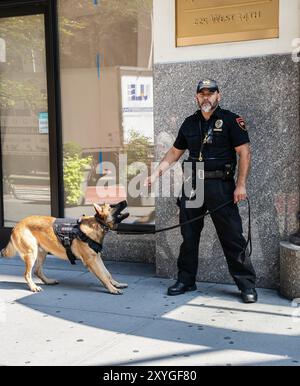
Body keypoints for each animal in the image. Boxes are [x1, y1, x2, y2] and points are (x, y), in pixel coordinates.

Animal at [0, 201, 129, 294]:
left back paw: (48, 281)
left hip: (42, 253)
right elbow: (103, 276)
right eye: (112, 206)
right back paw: (33, 287)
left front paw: (116, 284)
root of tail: (16, 225)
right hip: (32, 254)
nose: (125, 201)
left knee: (37, 271)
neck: (97, 224)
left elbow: (107, 273)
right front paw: (112, 289)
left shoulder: (97, 258)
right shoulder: (91, 261)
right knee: (27, 274)